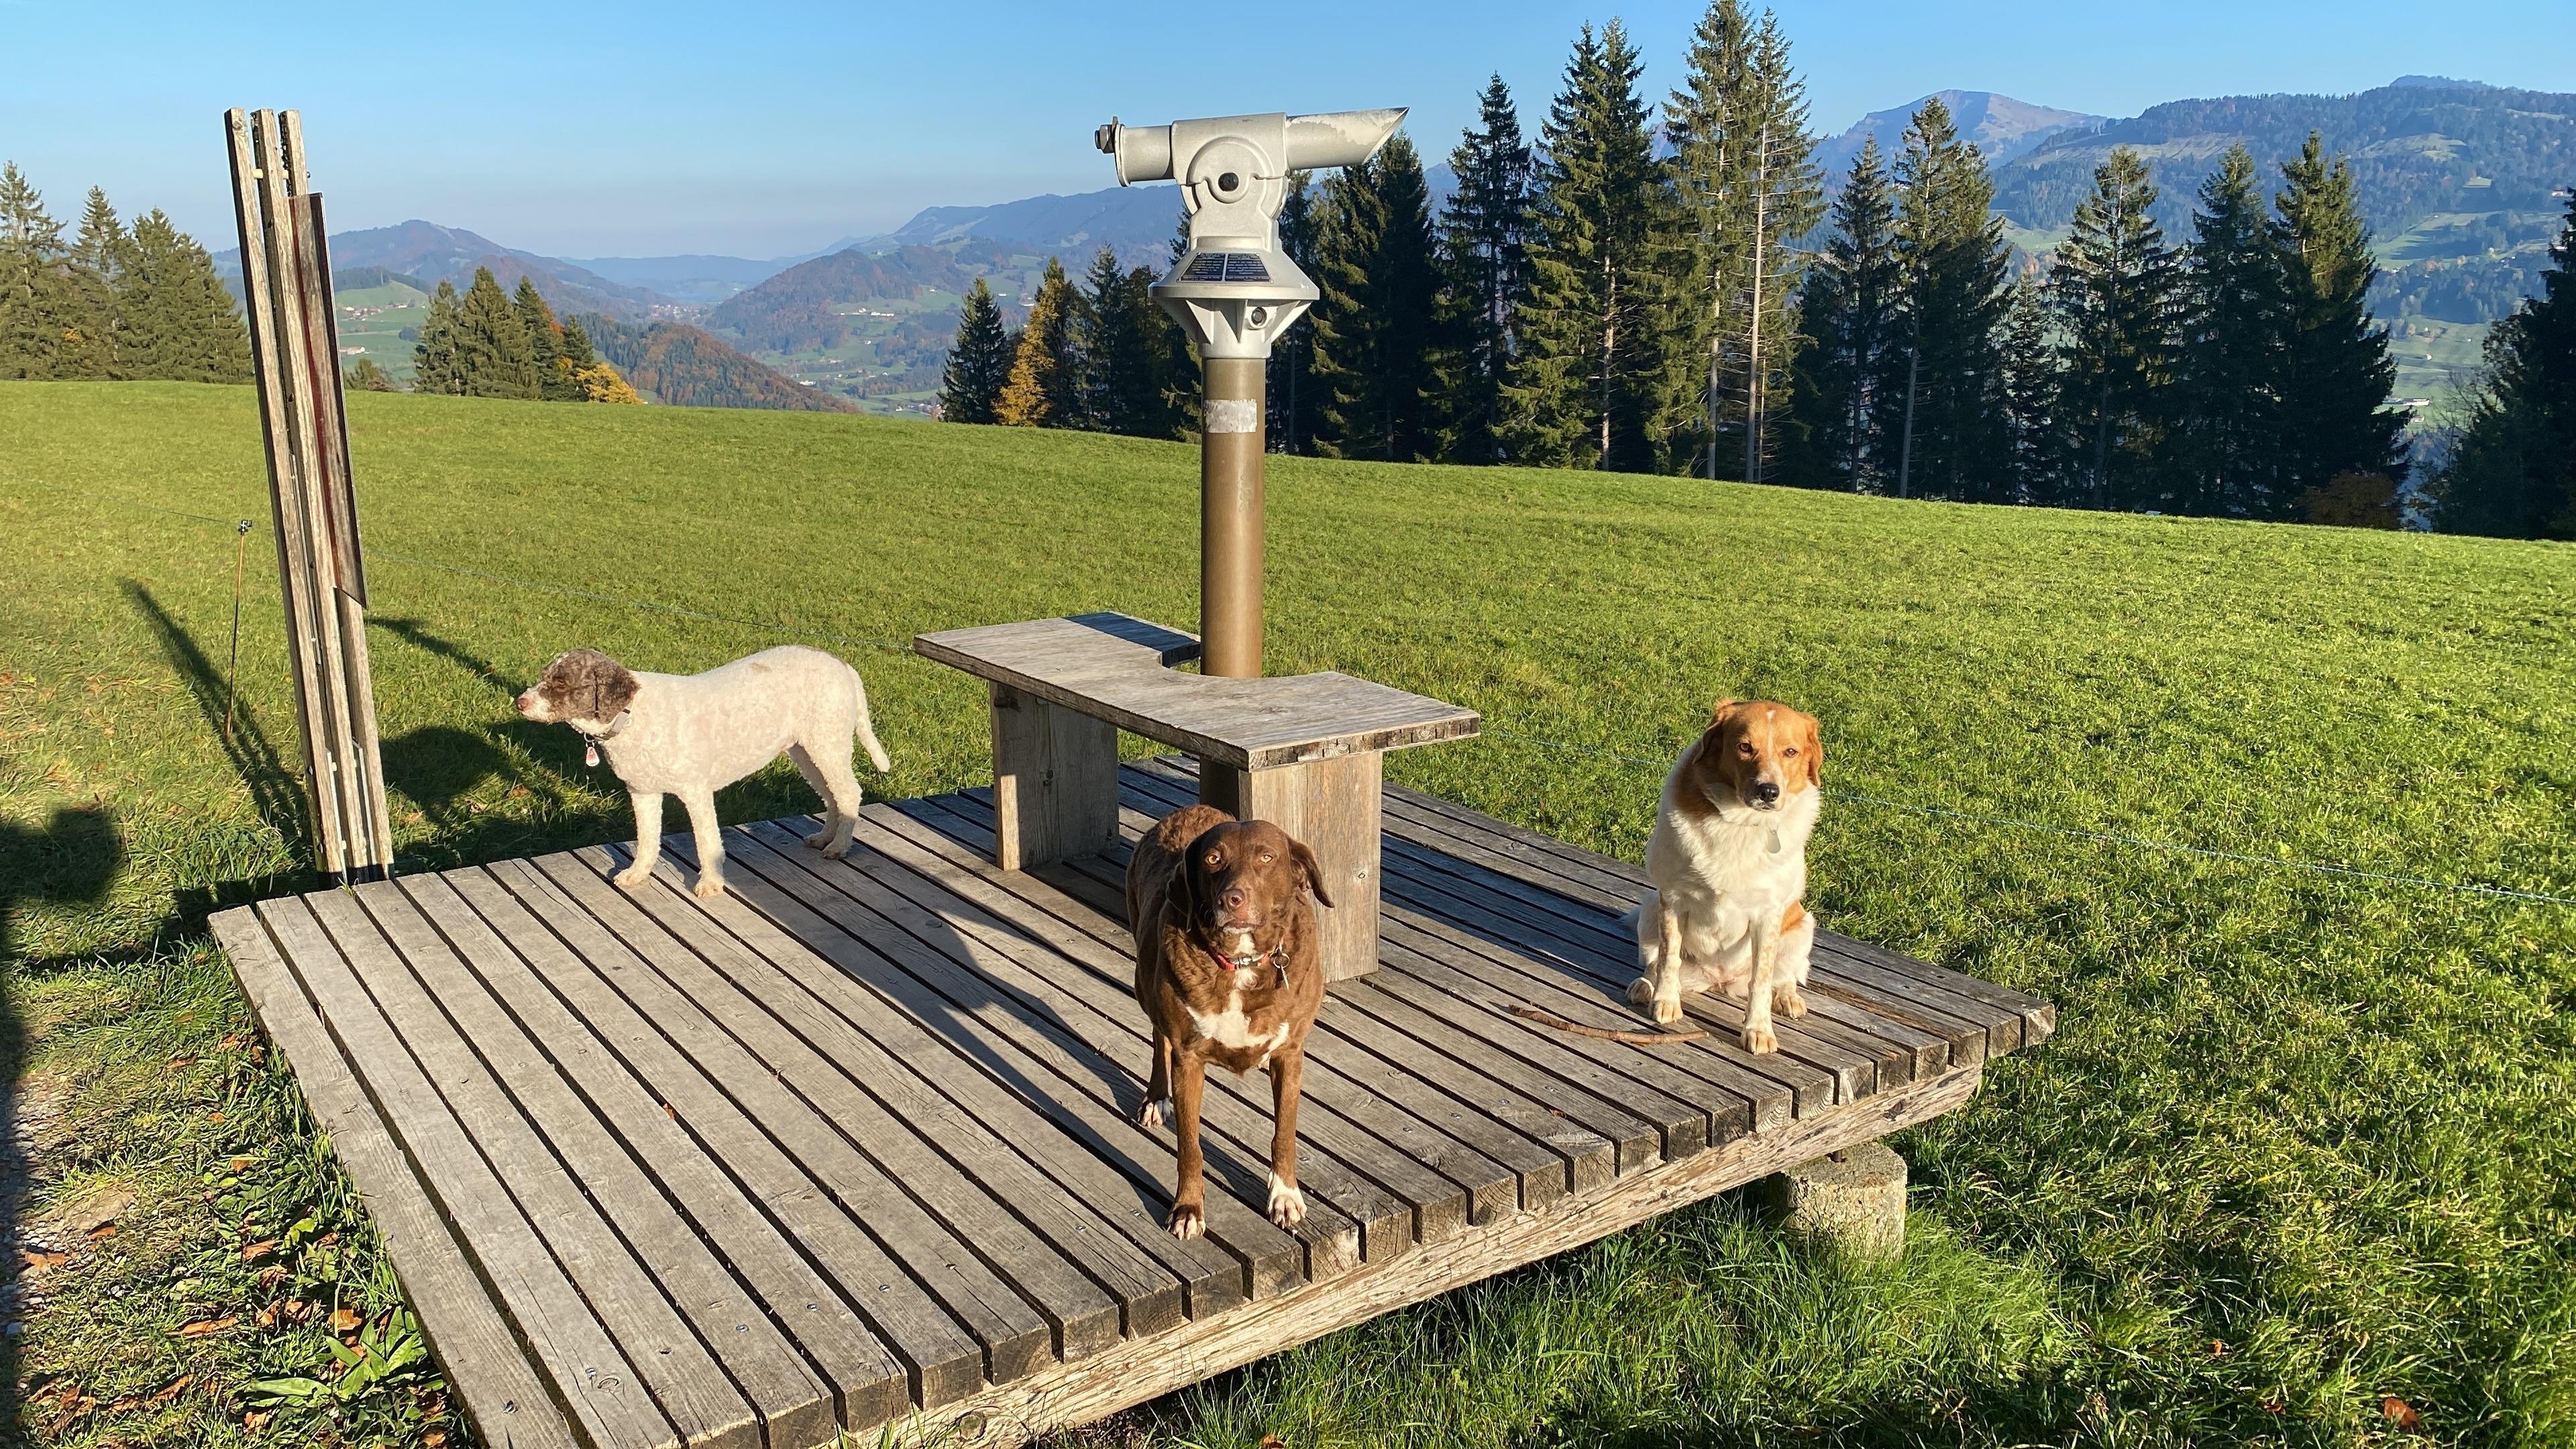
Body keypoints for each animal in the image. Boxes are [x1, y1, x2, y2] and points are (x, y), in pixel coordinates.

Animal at [515, 645, 891, 899]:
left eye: (561, 683)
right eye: (544, 677)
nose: (519, 702)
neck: (633, 715)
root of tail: (841, 663)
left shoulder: (696, 791)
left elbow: (706, 841)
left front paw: (710, 883)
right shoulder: (643, 792)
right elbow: (647, 840)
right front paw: (638, 874)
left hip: (827, 743)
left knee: (848, 793)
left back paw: (839, 847)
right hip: (805, 750)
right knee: (831, 796)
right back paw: (825, 837)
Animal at [1127, 804, 1333, 1240]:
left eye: (1267, 858)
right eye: (1212, 859)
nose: (1232, 899)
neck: (1241, 964)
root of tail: (1186, 811)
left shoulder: (1290, 1053)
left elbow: (1284, 1132)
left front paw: (1284, 1195)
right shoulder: (1188, 1060)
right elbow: (1190, 1145)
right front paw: (1188, 1209)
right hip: (1146, 982)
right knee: (1158, 1035)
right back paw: (1156, 1097)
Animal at [1626, 699, 1823, 1053]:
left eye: (1791, 752)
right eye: (1744, 747)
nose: (1768, 791)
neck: (1741, 823)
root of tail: (1719, 979)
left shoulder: (1768, 916)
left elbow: (1762, 980)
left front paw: (1758, 1030)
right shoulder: (1672, 899)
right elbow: (1668, 958)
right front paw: (1665, 1001)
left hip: (1802, 927)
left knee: (1786, 976)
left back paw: (1788, 999)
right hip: (1649, 908)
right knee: (1653, 962)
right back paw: (1646, 986)